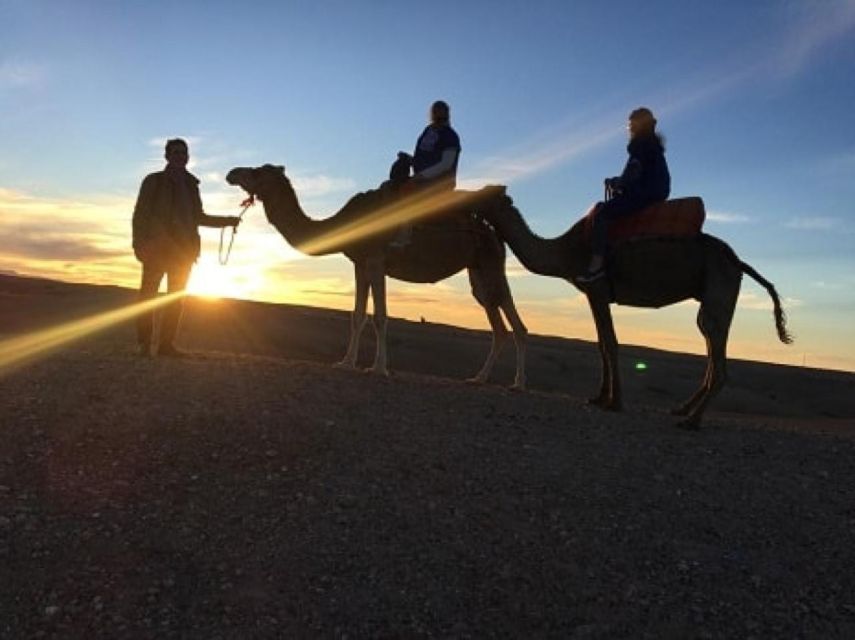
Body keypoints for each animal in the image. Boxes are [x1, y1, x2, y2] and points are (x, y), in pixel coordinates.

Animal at [224, 162, 524, 388]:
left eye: (257, 172)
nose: (231, 173)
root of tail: (493, 234)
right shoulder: (360, 263)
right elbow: (357, 315)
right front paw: (346, 363)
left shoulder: (376, 260)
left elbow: (380, 316)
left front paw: (379, 368)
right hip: (479, 271)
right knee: (497, 321)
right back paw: (479, 378)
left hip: (491, 263)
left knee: (513, 320)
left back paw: (517, 384)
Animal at [478, 192, 792, 428]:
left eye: (482, 195)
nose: (465, 195)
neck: (568, 250)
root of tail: (738, 262)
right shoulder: (594, 295)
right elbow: (601, 344)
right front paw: (599, 397)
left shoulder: (598, 288)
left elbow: (611, 343)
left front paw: (614, 402)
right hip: (714, 295)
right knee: (709, 341)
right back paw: (682, 409)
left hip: (719, 288)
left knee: (716, 348)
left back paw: (692, 421)